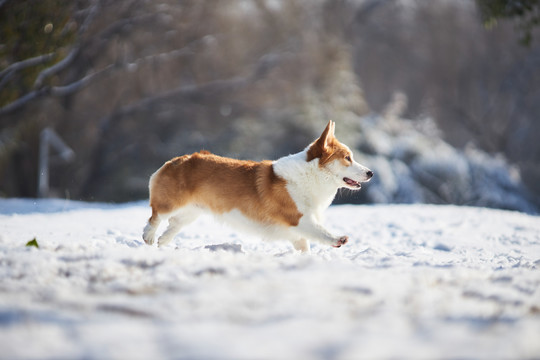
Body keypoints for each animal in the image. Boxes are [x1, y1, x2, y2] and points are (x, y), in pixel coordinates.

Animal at [141, 119, 374, 252]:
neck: (312, 175)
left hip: (192, 212)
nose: (371, 173)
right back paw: (149, 237)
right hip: (172, 203)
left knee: (173, 224)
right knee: (155, 217)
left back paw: (163, 242)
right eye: (347, 158)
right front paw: (338, 239)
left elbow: (304, 246)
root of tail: (175, 160)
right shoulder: (298, 218)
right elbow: (320, 231)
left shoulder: (298, 231)